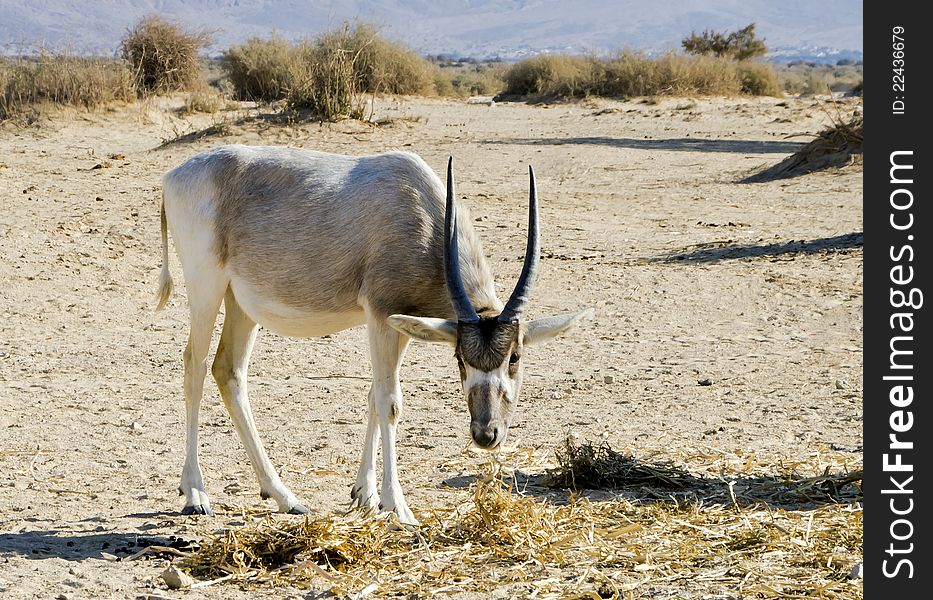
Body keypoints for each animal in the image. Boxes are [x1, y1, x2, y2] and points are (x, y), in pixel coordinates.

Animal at [156, 143, 588, 524]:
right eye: (460, 359)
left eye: (514, 357)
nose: (486, 434)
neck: (424, 214)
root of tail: (174, 176)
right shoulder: (380, 314)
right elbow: (390, 402)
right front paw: (397, 507)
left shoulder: (400, 325)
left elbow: (372, 396)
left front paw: (364, 493)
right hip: (207, 288)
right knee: (194, 366)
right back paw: (195, 494)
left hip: (240, 303)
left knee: (228, 371)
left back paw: (283, 496)